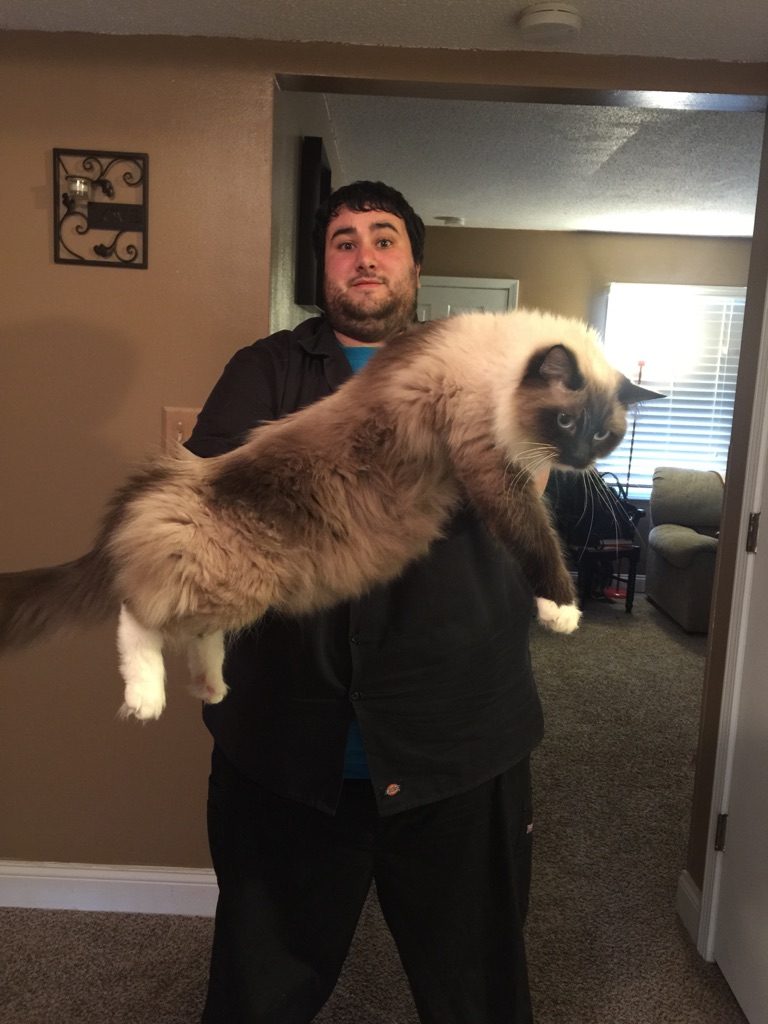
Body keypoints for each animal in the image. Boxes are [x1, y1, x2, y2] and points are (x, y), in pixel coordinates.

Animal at [0, 309, 658, 720]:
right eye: (566, 421)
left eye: (603, 435)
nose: (579, 459)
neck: (497, 366)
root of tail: (167, 480)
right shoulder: (491, 469)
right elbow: (538, 543)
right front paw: (562, 611)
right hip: (226, 583)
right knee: (137, 615)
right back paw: (146, 701)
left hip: (242, 592)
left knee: (195, 635)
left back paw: (211, 689)